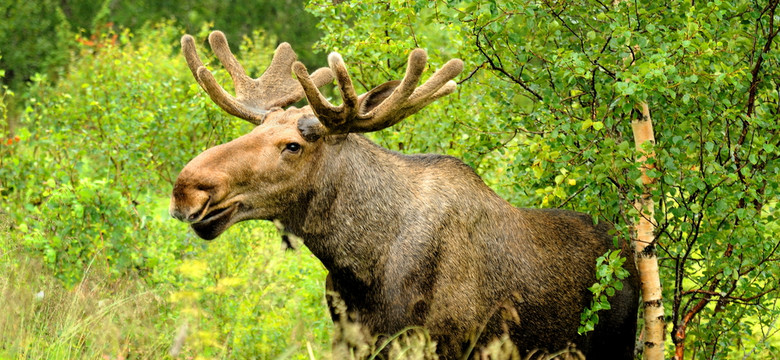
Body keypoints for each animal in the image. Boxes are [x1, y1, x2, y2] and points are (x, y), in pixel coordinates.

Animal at [171, 30, 640, 358]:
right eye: (259, 128)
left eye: (293, 146)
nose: (186, 188)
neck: (358, 264)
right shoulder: (352, 339)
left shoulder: (442, 342)